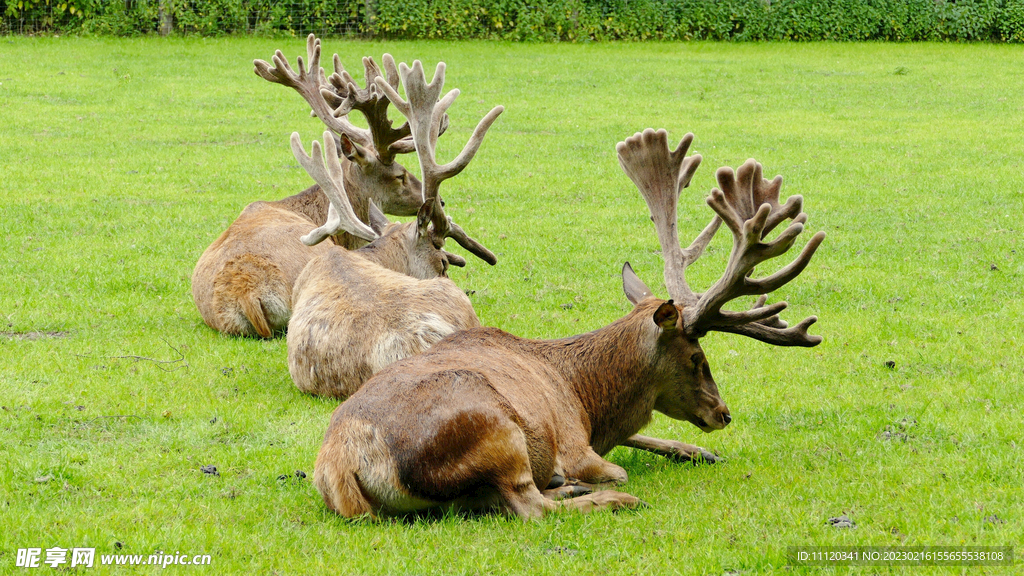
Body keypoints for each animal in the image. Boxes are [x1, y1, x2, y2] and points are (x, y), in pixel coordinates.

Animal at [309, 127, 823, 518]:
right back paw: (604, 496)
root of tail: (341, 465)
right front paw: (595, 479)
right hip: (495, 431)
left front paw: (697, 451)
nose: (723, 413)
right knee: (530, 506)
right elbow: (616, 464)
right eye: (698, 356)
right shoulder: (576, 441)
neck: (584, 393)